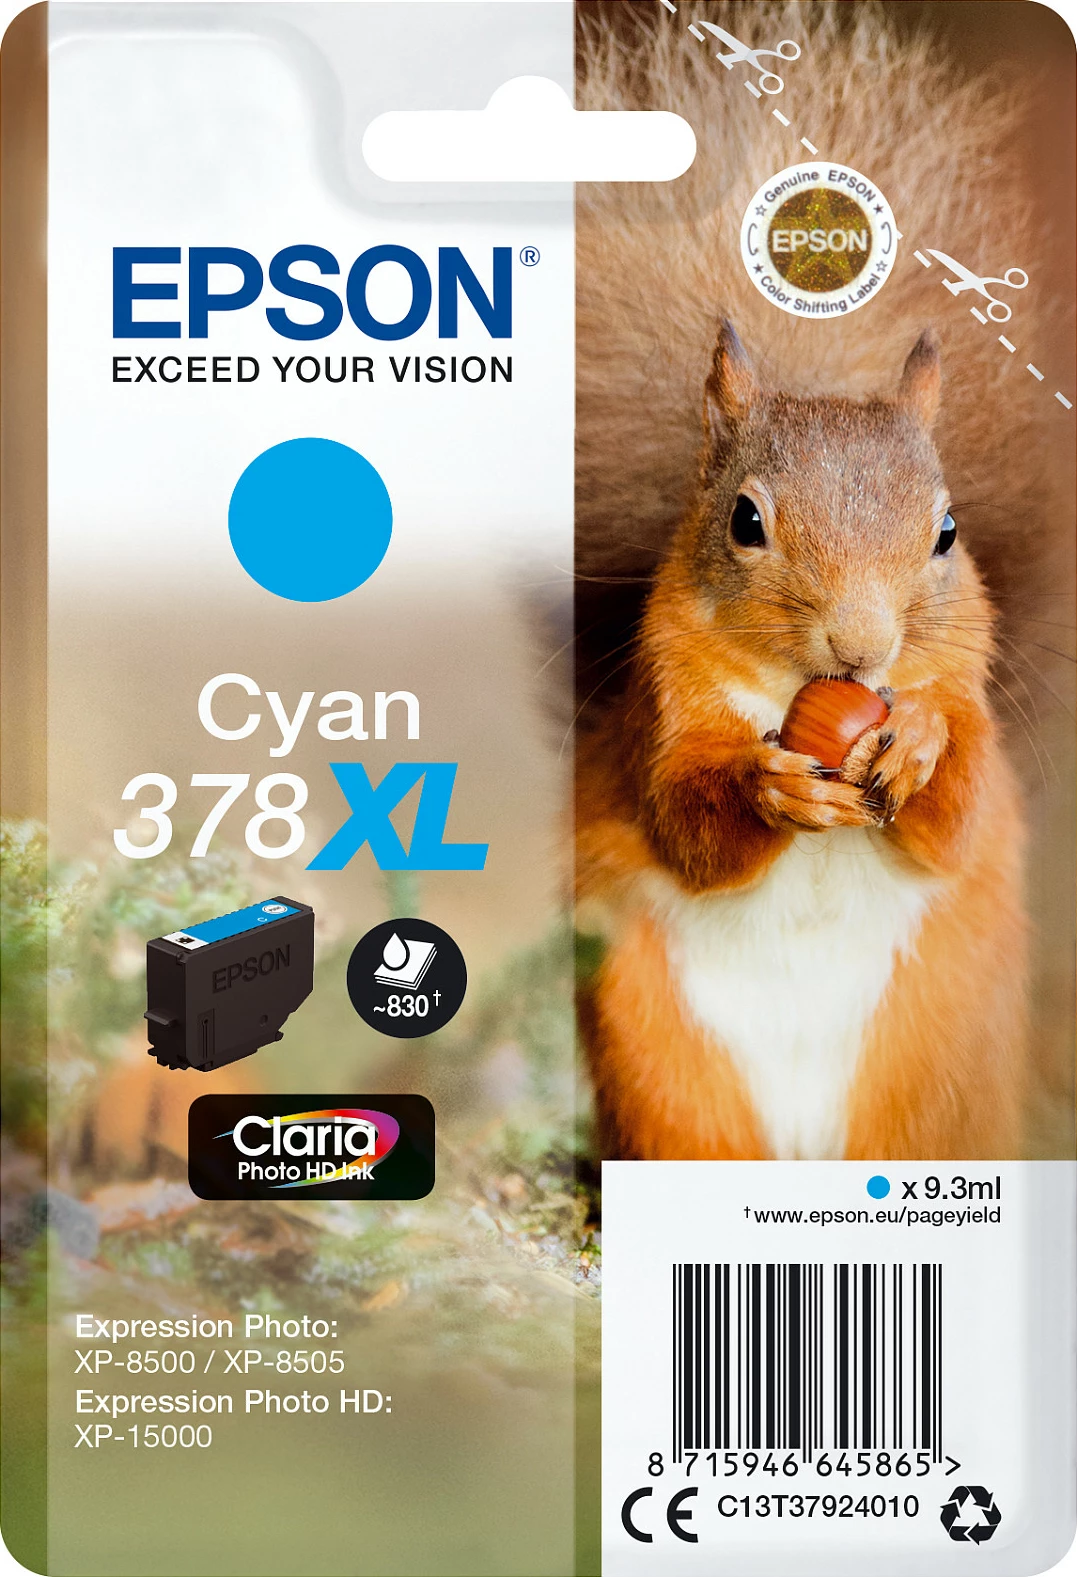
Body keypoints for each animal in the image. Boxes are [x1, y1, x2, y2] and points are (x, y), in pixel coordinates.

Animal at [573, 1, 1071, 1161]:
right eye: (745, 521)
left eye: (947, 532)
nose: (862, 647)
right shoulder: (663, 710)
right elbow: (685, 819)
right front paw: (772, 786)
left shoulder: (970, 702)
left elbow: (958, 811)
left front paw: (919, 742)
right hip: (661, 1061)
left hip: (937, 1068)